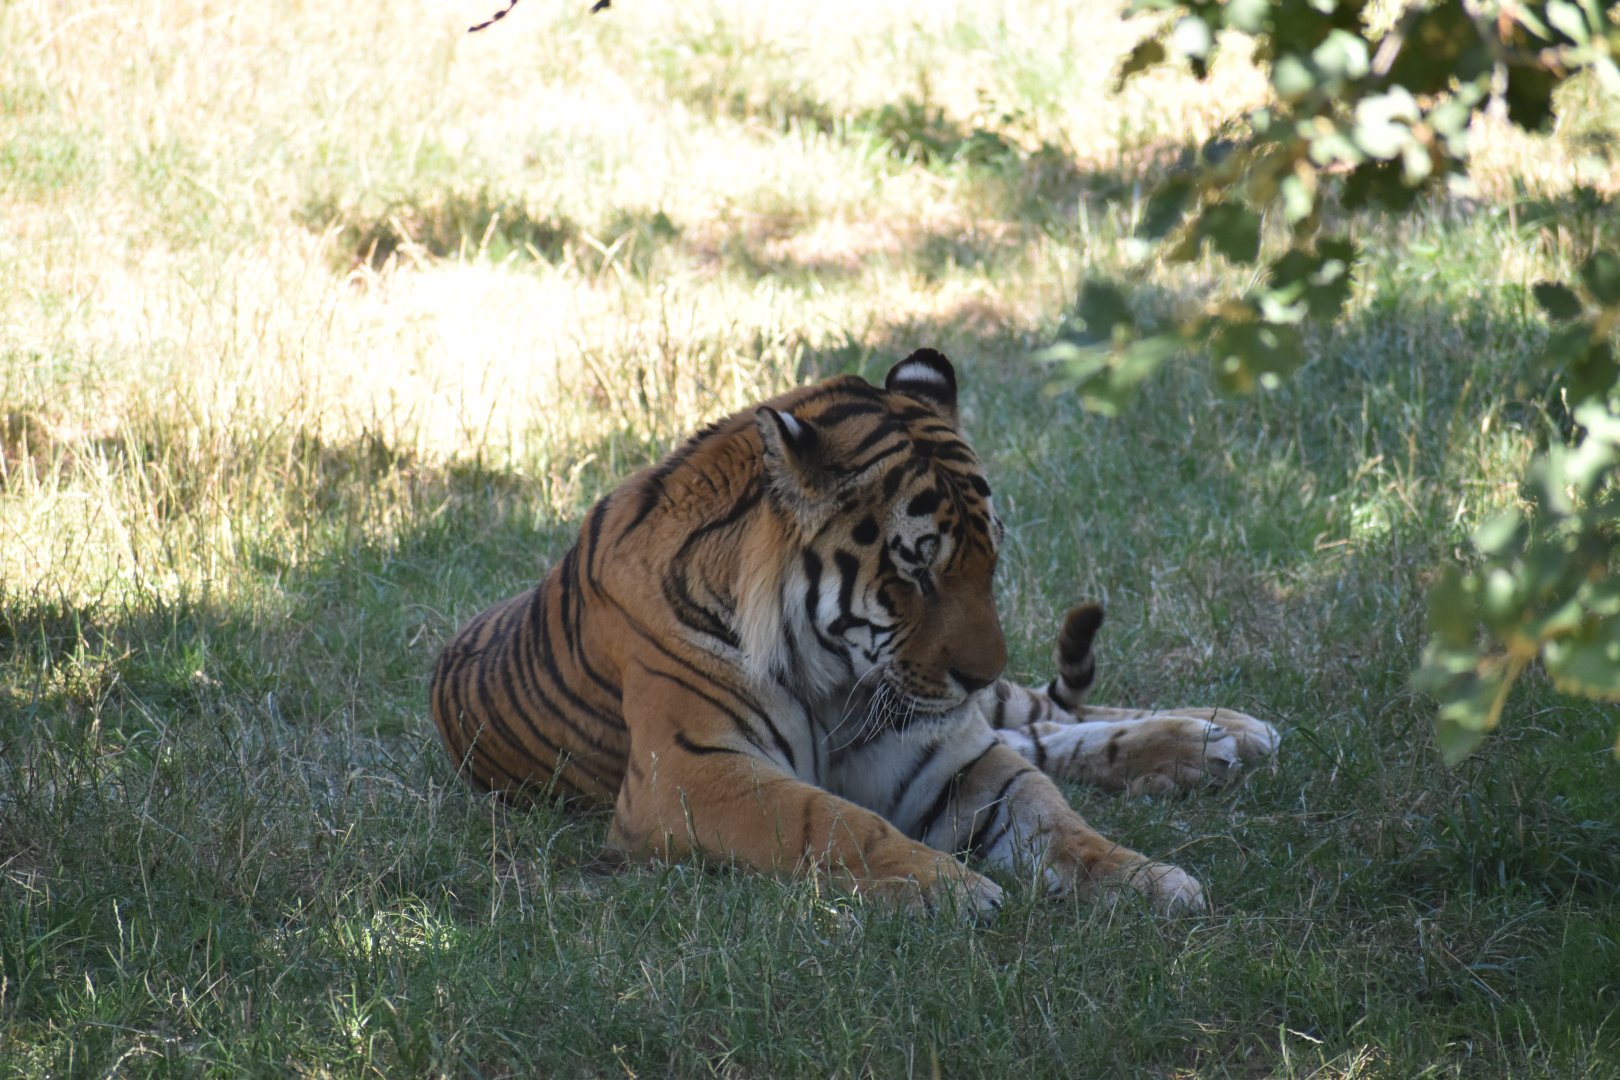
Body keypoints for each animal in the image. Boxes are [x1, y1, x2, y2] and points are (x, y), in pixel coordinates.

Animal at [429, 349, 1278, 916]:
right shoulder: (690, 776)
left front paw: (1149, 878)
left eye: (991, 560)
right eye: (917, 572)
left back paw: (1225, 732)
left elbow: (1053, 815)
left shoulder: (947, 753)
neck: (836, 679)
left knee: (1047, 715)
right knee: (1040, 728)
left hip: (986, 712)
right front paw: (952, 888)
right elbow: (831, 820)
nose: (975, 672)